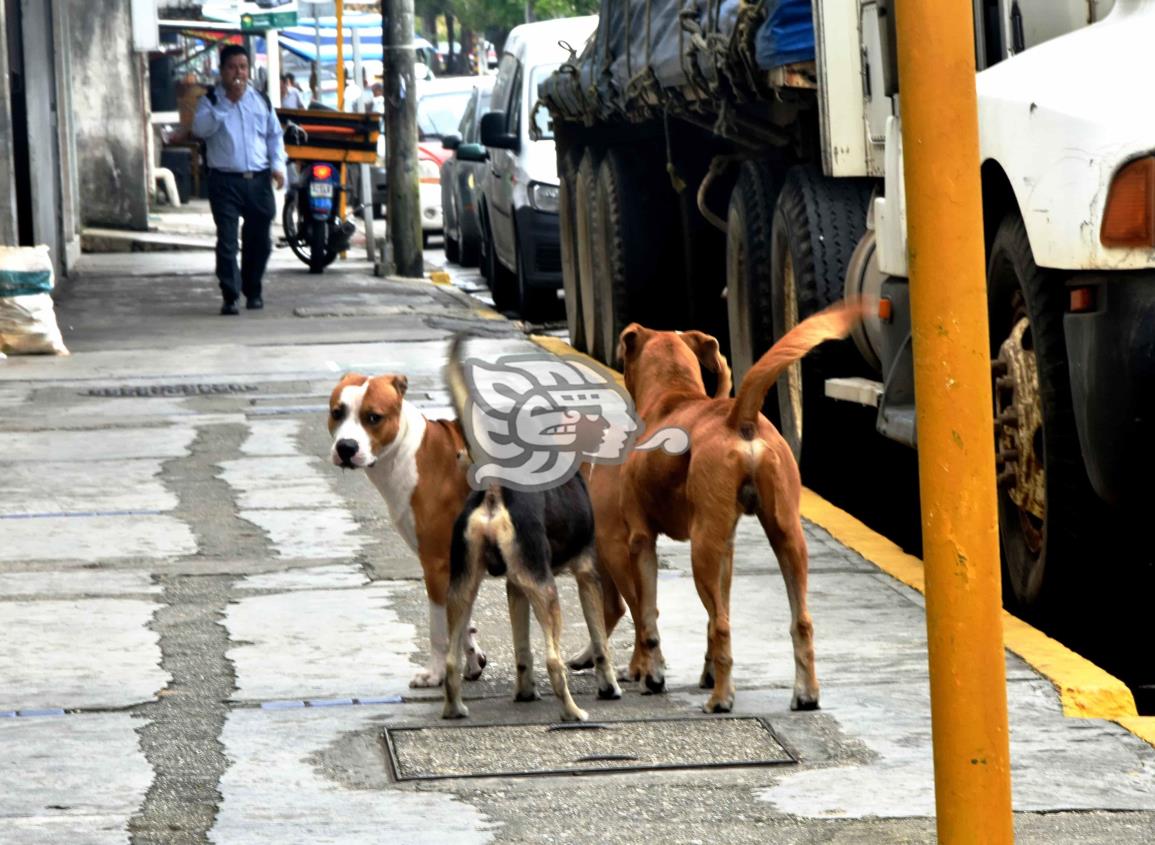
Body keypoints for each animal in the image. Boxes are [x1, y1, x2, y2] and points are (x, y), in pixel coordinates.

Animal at [325, 374, 487, 688]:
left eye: (373, 417)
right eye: (337, 412)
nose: (346, 447)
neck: (406, 454)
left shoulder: (436, 565)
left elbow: (439, 629)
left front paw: (435, 673)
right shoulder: (460, 562)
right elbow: (463, 622)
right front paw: (472, 660)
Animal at [586, 304, 868, 711]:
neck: (673, 395)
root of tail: (740, 417)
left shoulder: (641, 540)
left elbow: (648, 616)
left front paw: (654, 675)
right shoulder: (728, 549)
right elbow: (711, 616)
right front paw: (706, 671)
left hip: (703, 548)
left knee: (720, 624)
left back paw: (721, 699)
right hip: (785, 537)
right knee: (797, 621)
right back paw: (805, 693)